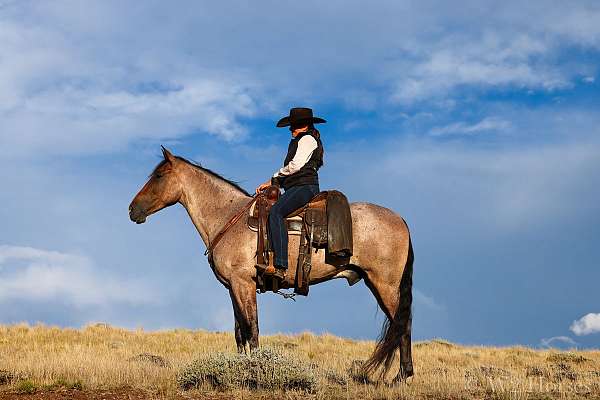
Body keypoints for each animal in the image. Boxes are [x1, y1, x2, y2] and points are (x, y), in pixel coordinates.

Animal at [129, 146, 414, 382]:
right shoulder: (233, 287)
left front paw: (255, 374)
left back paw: (403, 377)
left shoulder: (243, 283)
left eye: (159, 176)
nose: (132, 210)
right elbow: (240, 332)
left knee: (403, 324)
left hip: (384, 284)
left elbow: (252, 329)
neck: (226, 218)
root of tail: (400, 219)